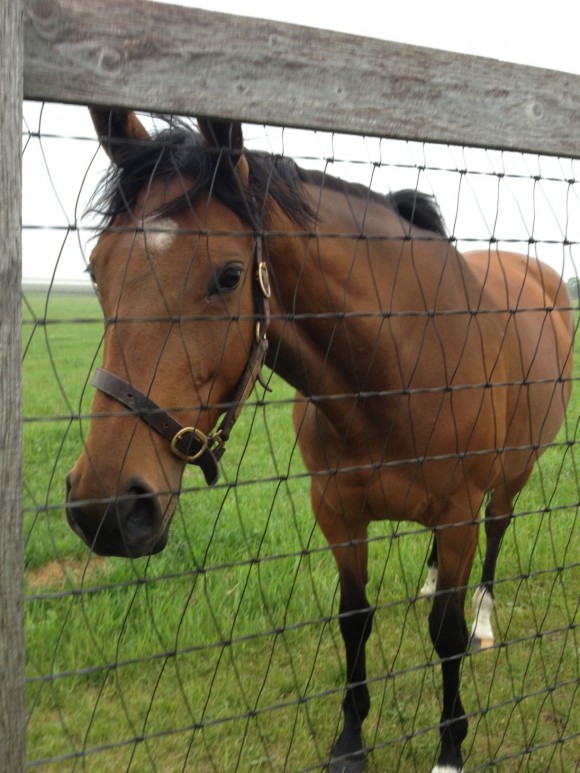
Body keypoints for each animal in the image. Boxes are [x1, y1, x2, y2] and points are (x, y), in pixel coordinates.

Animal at [66, 109, 573, 773]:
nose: (106, 508)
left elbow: (446, 634)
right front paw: (351, 739)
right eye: (97, 270)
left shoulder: (458, 513)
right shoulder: (337, 511)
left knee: (496, 534)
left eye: (229, 276)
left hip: (512, 476)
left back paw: (484, 617)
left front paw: (449, 748)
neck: (399, 369)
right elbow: (354, 618)